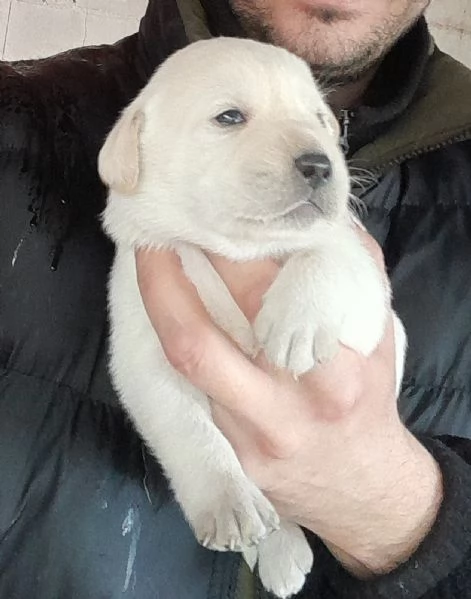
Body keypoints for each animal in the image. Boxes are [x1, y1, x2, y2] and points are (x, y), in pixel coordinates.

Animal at [98, 38, 406, 599]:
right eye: (230, 117)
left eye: (320, 120)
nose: (320, 164)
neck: (238, 249)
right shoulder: (145, 358)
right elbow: (189, 431)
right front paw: (229, 504)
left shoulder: (371, 302)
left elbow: (327, 251)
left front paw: (296, 323)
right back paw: (279, 548)